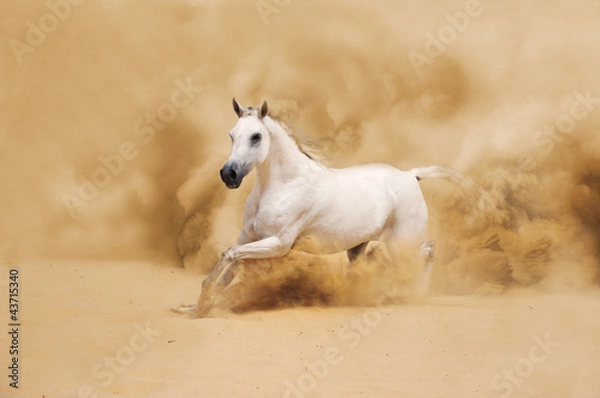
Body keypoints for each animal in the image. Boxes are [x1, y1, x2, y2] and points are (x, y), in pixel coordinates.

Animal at [176, 98, 466, 318]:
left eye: (256, 136)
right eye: (231, 135)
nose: (229, 174)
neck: (285, 184)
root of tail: (410, 175)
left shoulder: (277, 244)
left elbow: (227, 255)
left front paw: (200, 305)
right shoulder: (248, 240)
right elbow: (228, 268)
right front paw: (196, 308)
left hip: (401, 243)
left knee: (428, 251)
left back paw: (416, 292)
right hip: (357, 248)